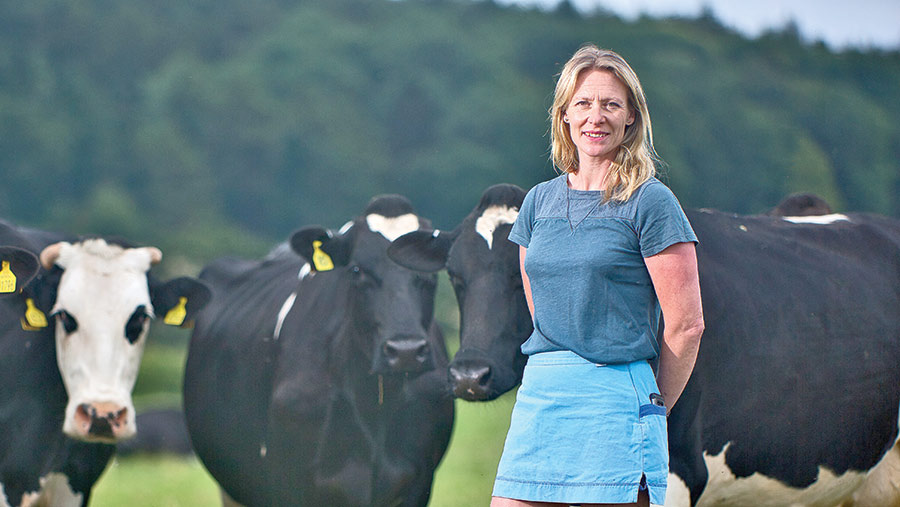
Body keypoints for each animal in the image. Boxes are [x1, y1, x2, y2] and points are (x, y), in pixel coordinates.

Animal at [183, 195, 454, 507]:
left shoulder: (418, 482)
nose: (406, 350)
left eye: (431, 271)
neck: (373, 406)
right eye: (356, 270)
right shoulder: (290, 484)